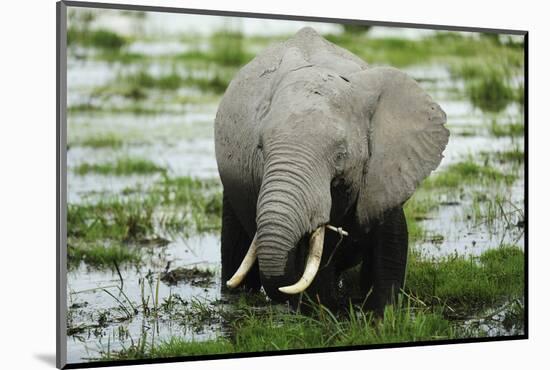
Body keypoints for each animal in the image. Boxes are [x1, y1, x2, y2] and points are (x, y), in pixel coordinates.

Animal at [213, 26, 450, 316]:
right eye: (260, 148)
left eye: (340, 155)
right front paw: (326, 313)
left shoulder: (384, 173)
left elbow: (391, 244)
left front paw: (382, 315)